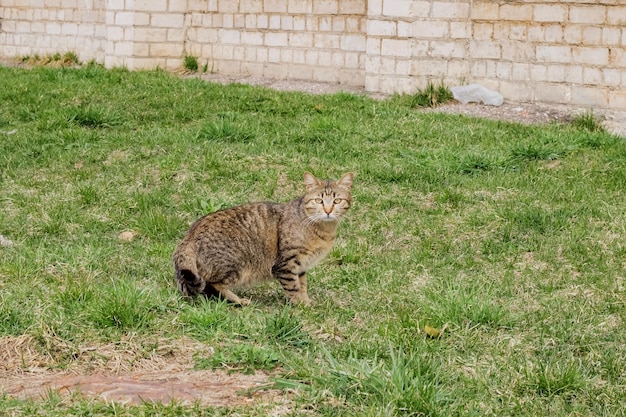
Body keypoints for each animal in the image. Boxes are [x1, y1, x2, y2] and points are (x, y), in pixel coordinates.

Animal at [173, 171, 354, 304]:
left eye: (337, 201)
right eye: (318, 200)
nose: (328, 211)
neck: (323, 230)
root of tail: (190, 236)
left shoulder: (302, 266)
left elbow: (302, 286)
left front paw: (307, 302)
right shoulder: (286, 265)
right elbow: (294, 288)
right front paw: (301, 305)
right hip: (236, 264)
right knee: (213, 284)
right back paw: (239, 301)